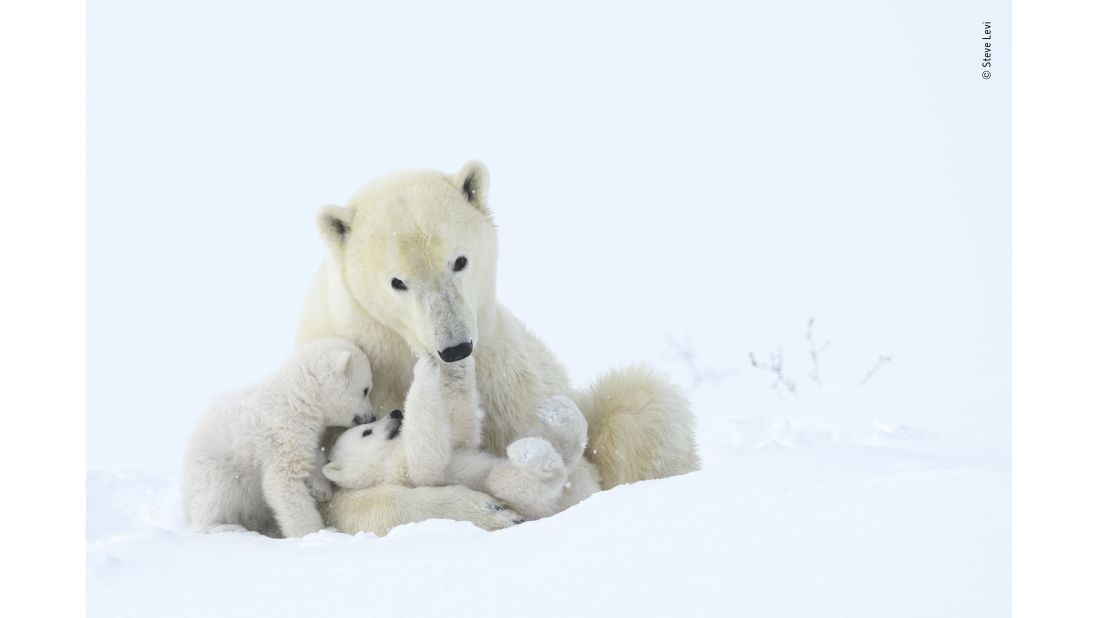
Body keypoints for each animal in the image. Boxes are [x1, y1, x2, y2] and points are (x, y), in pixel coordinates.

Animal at [184, 338, 377, 537]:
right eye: (365, 390)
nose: (372, 417)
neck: (298, 398)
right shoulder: (282, 434)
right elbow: (284, 482)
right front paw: (313, 532)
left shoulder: (303, 433)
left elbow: (312, 455)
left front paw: (321, 489)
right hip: (215, 467)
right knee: (216, 495)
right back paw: (224, 526)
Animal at [320, 355, 606, 524]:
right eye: (366, 431)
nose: (396, 413)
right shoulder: (401, 471)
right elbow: (426, 455)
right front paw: (423, 369)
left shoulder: (455, 443)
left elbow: (460, 427)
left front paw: (451, 362)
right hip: (522, 500)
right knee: (511, 483)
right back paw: (533, 454)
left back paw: (559, 412)